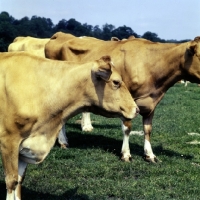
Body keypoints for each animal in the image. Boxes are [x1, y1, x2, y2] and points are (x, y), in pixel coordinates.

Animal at [0, 52, 139, 200]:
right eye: (116, 82)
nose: (137, 109)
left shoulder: (25, 146)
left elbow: (20, 179)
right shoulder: (9, 142)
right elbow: (12, 181)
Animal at [45, 32, 200, 162]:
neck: (150, 64)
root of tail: (60, 34)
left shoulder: (151, 103)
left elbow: (148, 129)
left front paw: (149, 154)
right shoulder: (127, 102)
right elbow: (127, 128)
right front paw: (126, 154)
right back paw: (63, 141)